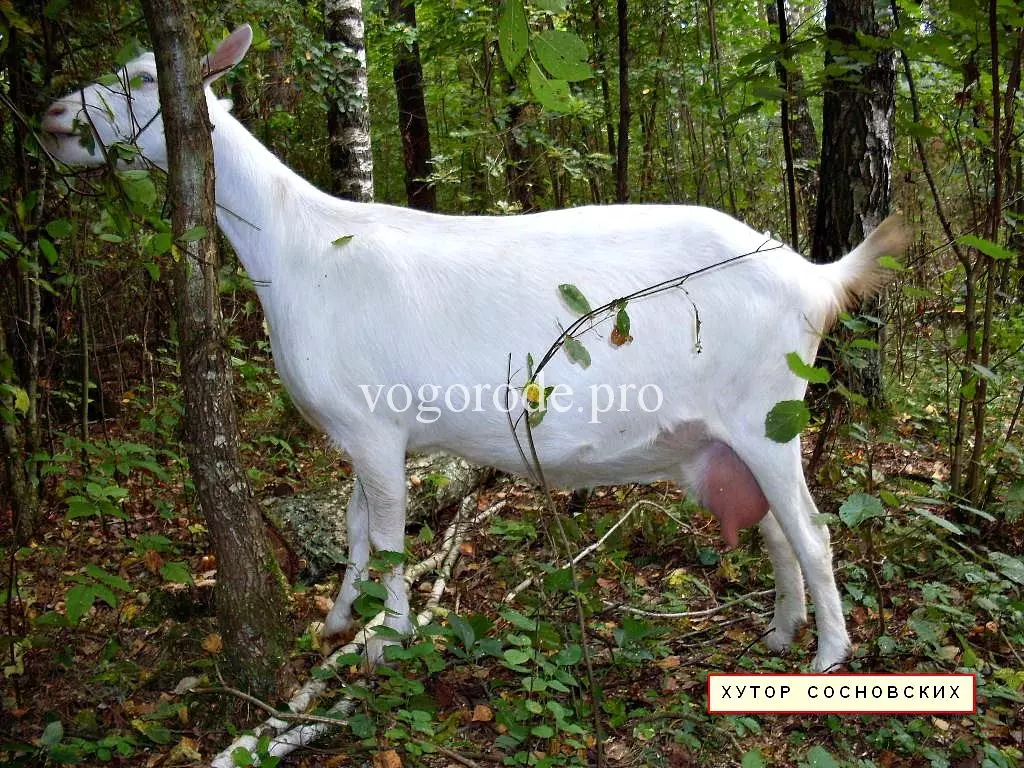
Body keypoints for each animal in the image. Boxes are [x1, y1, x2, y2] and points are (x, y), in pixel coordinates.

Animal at [42, 24, 908, 672]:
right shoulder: (358, 432)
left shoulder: (375, 426)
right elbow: (353, 528)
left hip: (768, 410)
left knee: (814, 531)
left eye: (144, 78)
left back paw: (829, 655)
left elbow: (388, 537)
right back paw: (781, 632)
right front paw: (335, 621)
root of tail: (812, 276)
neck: (297, 249)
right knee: (776, 531)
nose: (50, 118)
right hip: (731, 438)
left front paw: (384, 642)